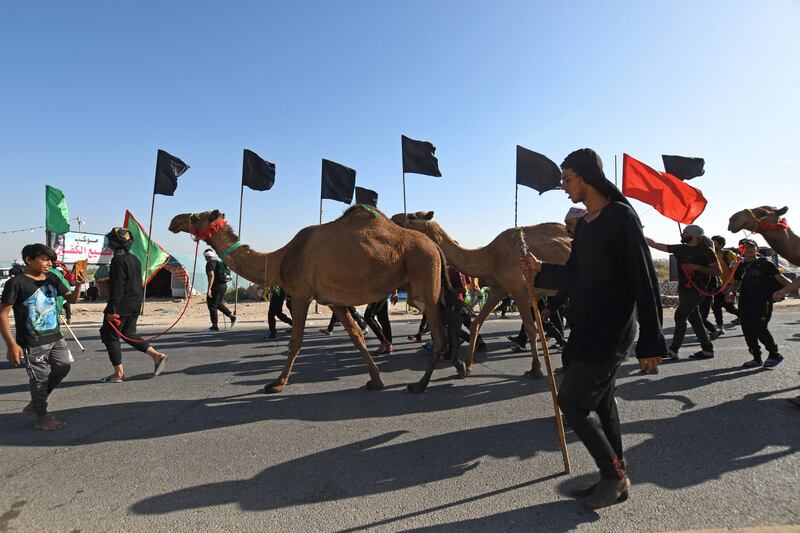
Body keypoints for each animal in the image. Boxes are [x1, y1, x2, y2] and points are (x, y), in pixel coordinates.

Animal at [170, 206, 462, 392]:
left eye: (197, 216)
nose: (174, 220)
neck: (280, 258)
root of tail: (435, 247)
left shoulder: (301, 293)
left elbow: (295, 341)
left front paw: (277, 383)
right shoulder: (334, 301)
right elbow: (357, 337)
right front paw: (375, 380)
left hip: (425, 278)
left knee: (439, 333)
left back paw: (421, 383)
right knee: (449, 320)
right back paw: (459, 366)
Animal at [392, 210, 572, 376]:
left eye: (412, 216)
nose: (394, 217)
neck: (490, 258)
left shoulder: (519, 290)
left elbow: (530, 328)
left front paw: (536, 369)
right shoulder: (498, 290)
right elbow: (476, 323)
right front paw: (467, 366)